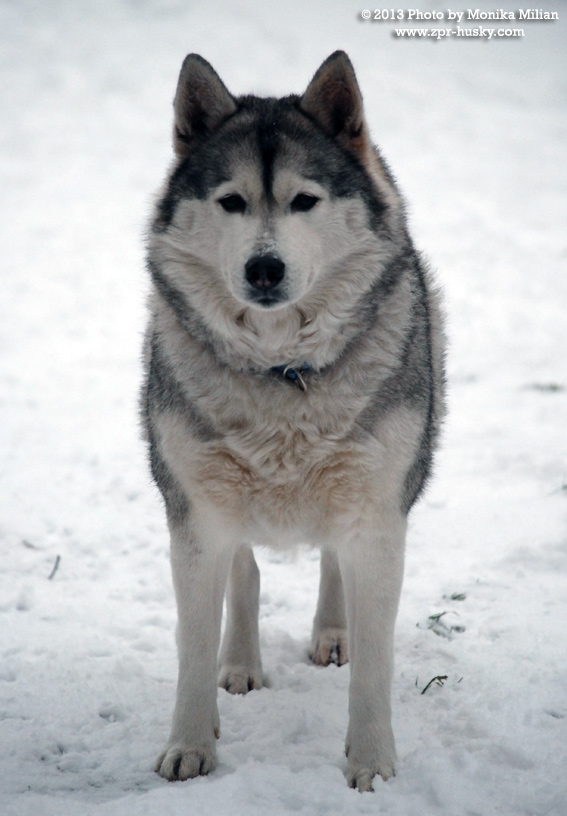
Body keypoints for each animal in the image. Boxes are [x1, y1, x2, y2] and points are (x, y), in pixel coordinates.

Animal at [141, 51, 445, 792]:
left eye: (305, 201)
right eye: (231, 202)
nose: (264, 267)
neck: (281, 370)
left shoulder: (377, 514)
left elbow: (375, 662)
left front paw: (372, 765)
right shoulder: (194, 517)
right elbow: (193, 645)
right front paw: (189, 746)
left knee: (332, 560)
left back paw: (332, 632)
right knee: (245, 571)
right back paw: (242, 663)